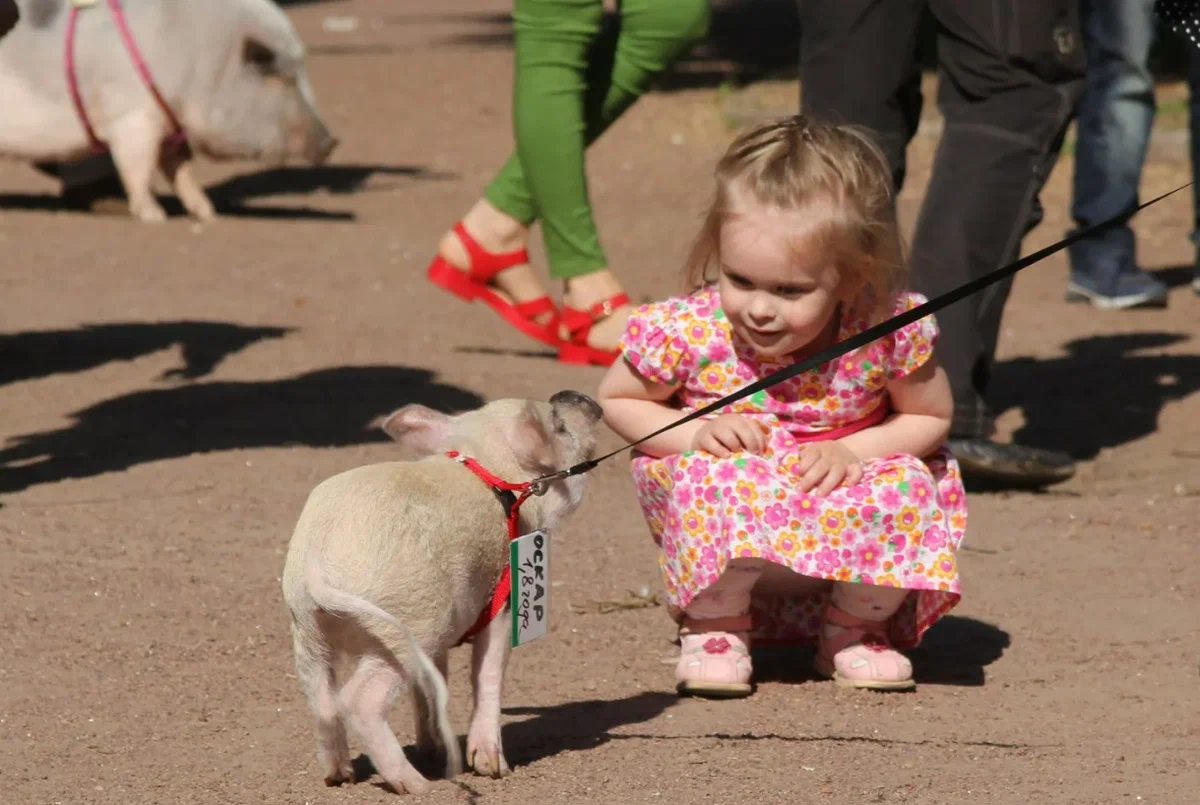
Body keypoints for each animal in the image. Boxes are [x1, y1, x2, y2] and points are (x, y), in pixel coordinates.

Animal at [1, 0, 338, 221]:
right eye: (283, 77)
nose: (333, 141)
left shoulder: (170, 125)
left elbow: (181, 169)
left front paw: (207, 213)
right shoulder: (133, 117)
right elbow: (138, 167)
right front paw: (154, 216)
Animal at [278, 393, 600, 796]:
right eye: (557, 426)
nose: (575, 396)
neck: (488, 466)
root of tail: (317, 567)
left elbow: (434, 684)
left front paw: (432, 750)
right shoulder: (500, 601)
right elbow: (487, 672)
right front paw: (494, 769)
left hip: (307, 627)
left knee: (321, 700)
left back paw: (341, 776)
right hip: (408, 625)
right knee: (359, 701)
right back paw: (416, 785)